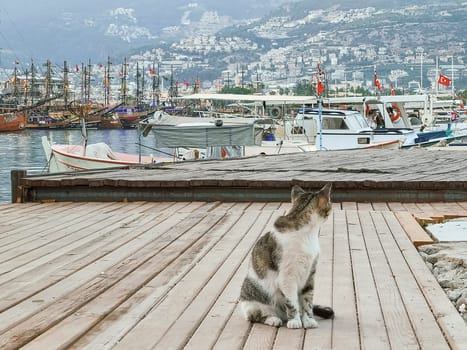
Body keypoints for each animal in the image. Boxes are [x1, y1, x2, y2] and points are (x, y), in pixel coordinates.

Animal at [239, 183, 334, 328]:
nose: (331, 209)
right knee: (255, 316)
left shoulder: (310, 273)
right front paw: (295, 321)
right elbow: (292, 302)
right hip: (253, 300)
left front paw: (308, 320)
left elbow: (307, 300)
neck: (307, 234)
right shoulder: (287, 277)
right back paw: (273, 319)